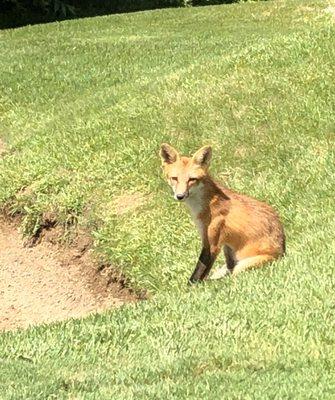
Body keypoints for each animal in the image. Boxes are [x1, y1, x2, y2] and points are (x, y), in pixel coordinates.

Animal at [160, 144, 286, 284]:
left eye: (192, 179)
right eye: (174, 178)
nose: (180, 196)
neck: (206, 204)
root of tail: (283, 250)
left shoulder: (213, 243)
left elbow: (198, 273)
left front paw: (191, 287)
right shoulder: (215, 241)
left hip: (244, 265)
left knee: (230, 274)